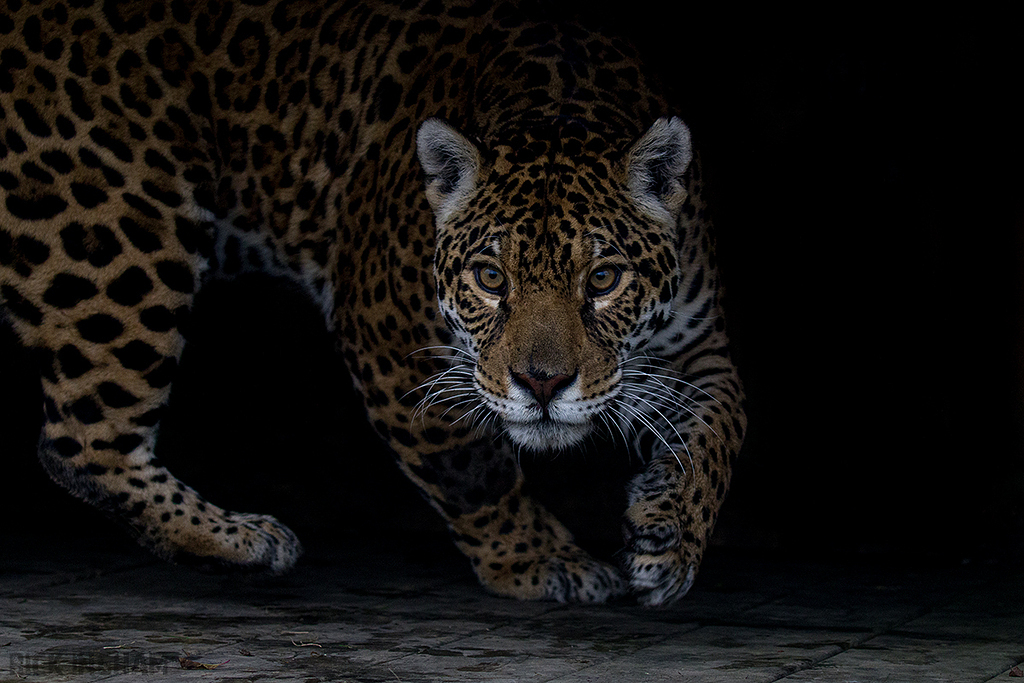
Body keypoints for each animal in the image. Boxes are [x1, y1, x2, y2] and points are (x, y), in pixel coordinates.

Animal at [0, 0, 746, 606]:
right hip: (115, 228)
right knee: (80, 442)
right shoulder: (388, 341)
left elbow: (720, 426)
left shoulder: (695, 340)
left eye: (603, 280)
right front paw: (541, 563)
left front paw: (671, 535)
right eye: (490, 277)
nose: (542, 383)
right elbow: (471, 470)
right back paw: (243, 541)